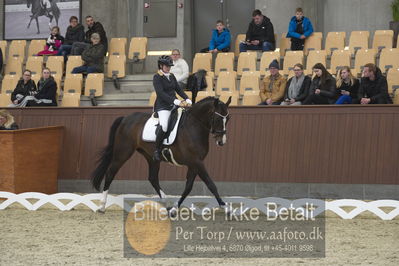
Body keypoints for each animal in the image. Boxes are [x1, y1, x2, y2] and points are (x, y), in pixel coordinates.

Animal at [91, 96, 231, 215]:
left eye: (228, 119)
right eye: (218, 118)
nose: (221, 142)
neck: (193, 126)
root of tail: (125, 118)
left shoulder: (194, 163)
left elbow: (188, 187)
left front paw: (174, 209)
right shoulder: (196, 162)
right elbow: (210, 184)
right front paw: (225, 207)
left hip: (151, 157)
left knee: (153, 178)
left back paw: (166, 203)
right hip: (123, 152)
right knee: (110, 173)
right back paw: (102, 206)